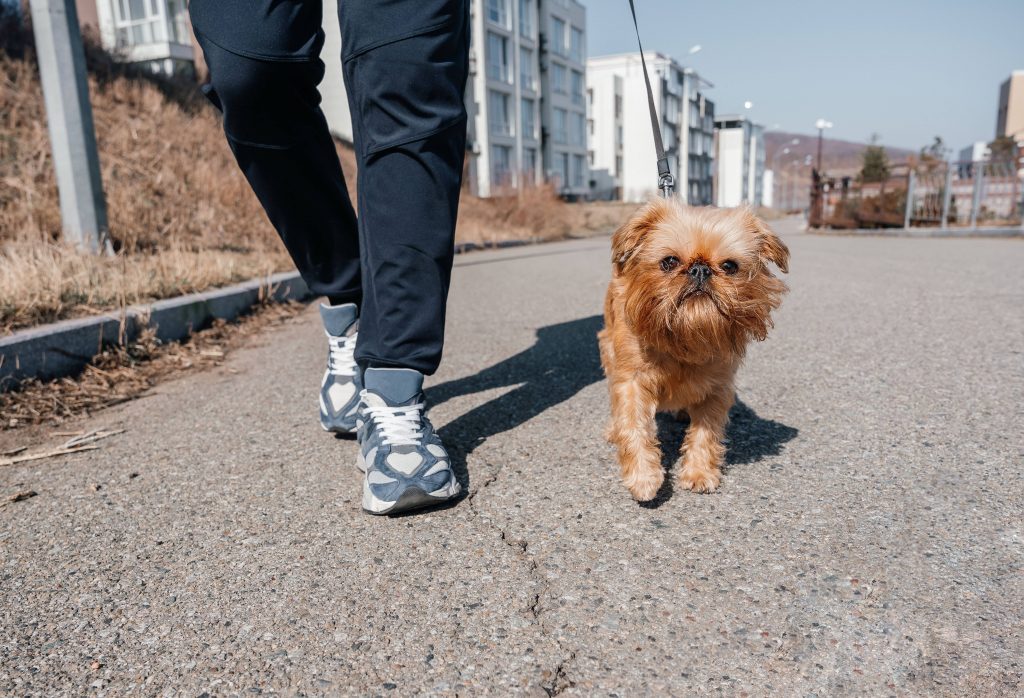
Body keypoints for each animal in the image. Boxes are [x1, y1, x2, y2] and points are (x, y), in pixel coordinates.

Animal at [598, 198, 790, 497]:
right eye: (669, 262)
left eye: (730, 266)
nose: (700, 269)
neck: (684, 339)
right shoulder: (632, 382)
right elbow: (634, 425)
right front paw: (644, 477)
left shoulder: (717, 388)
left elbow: (706, 432)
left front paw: (699, 472)